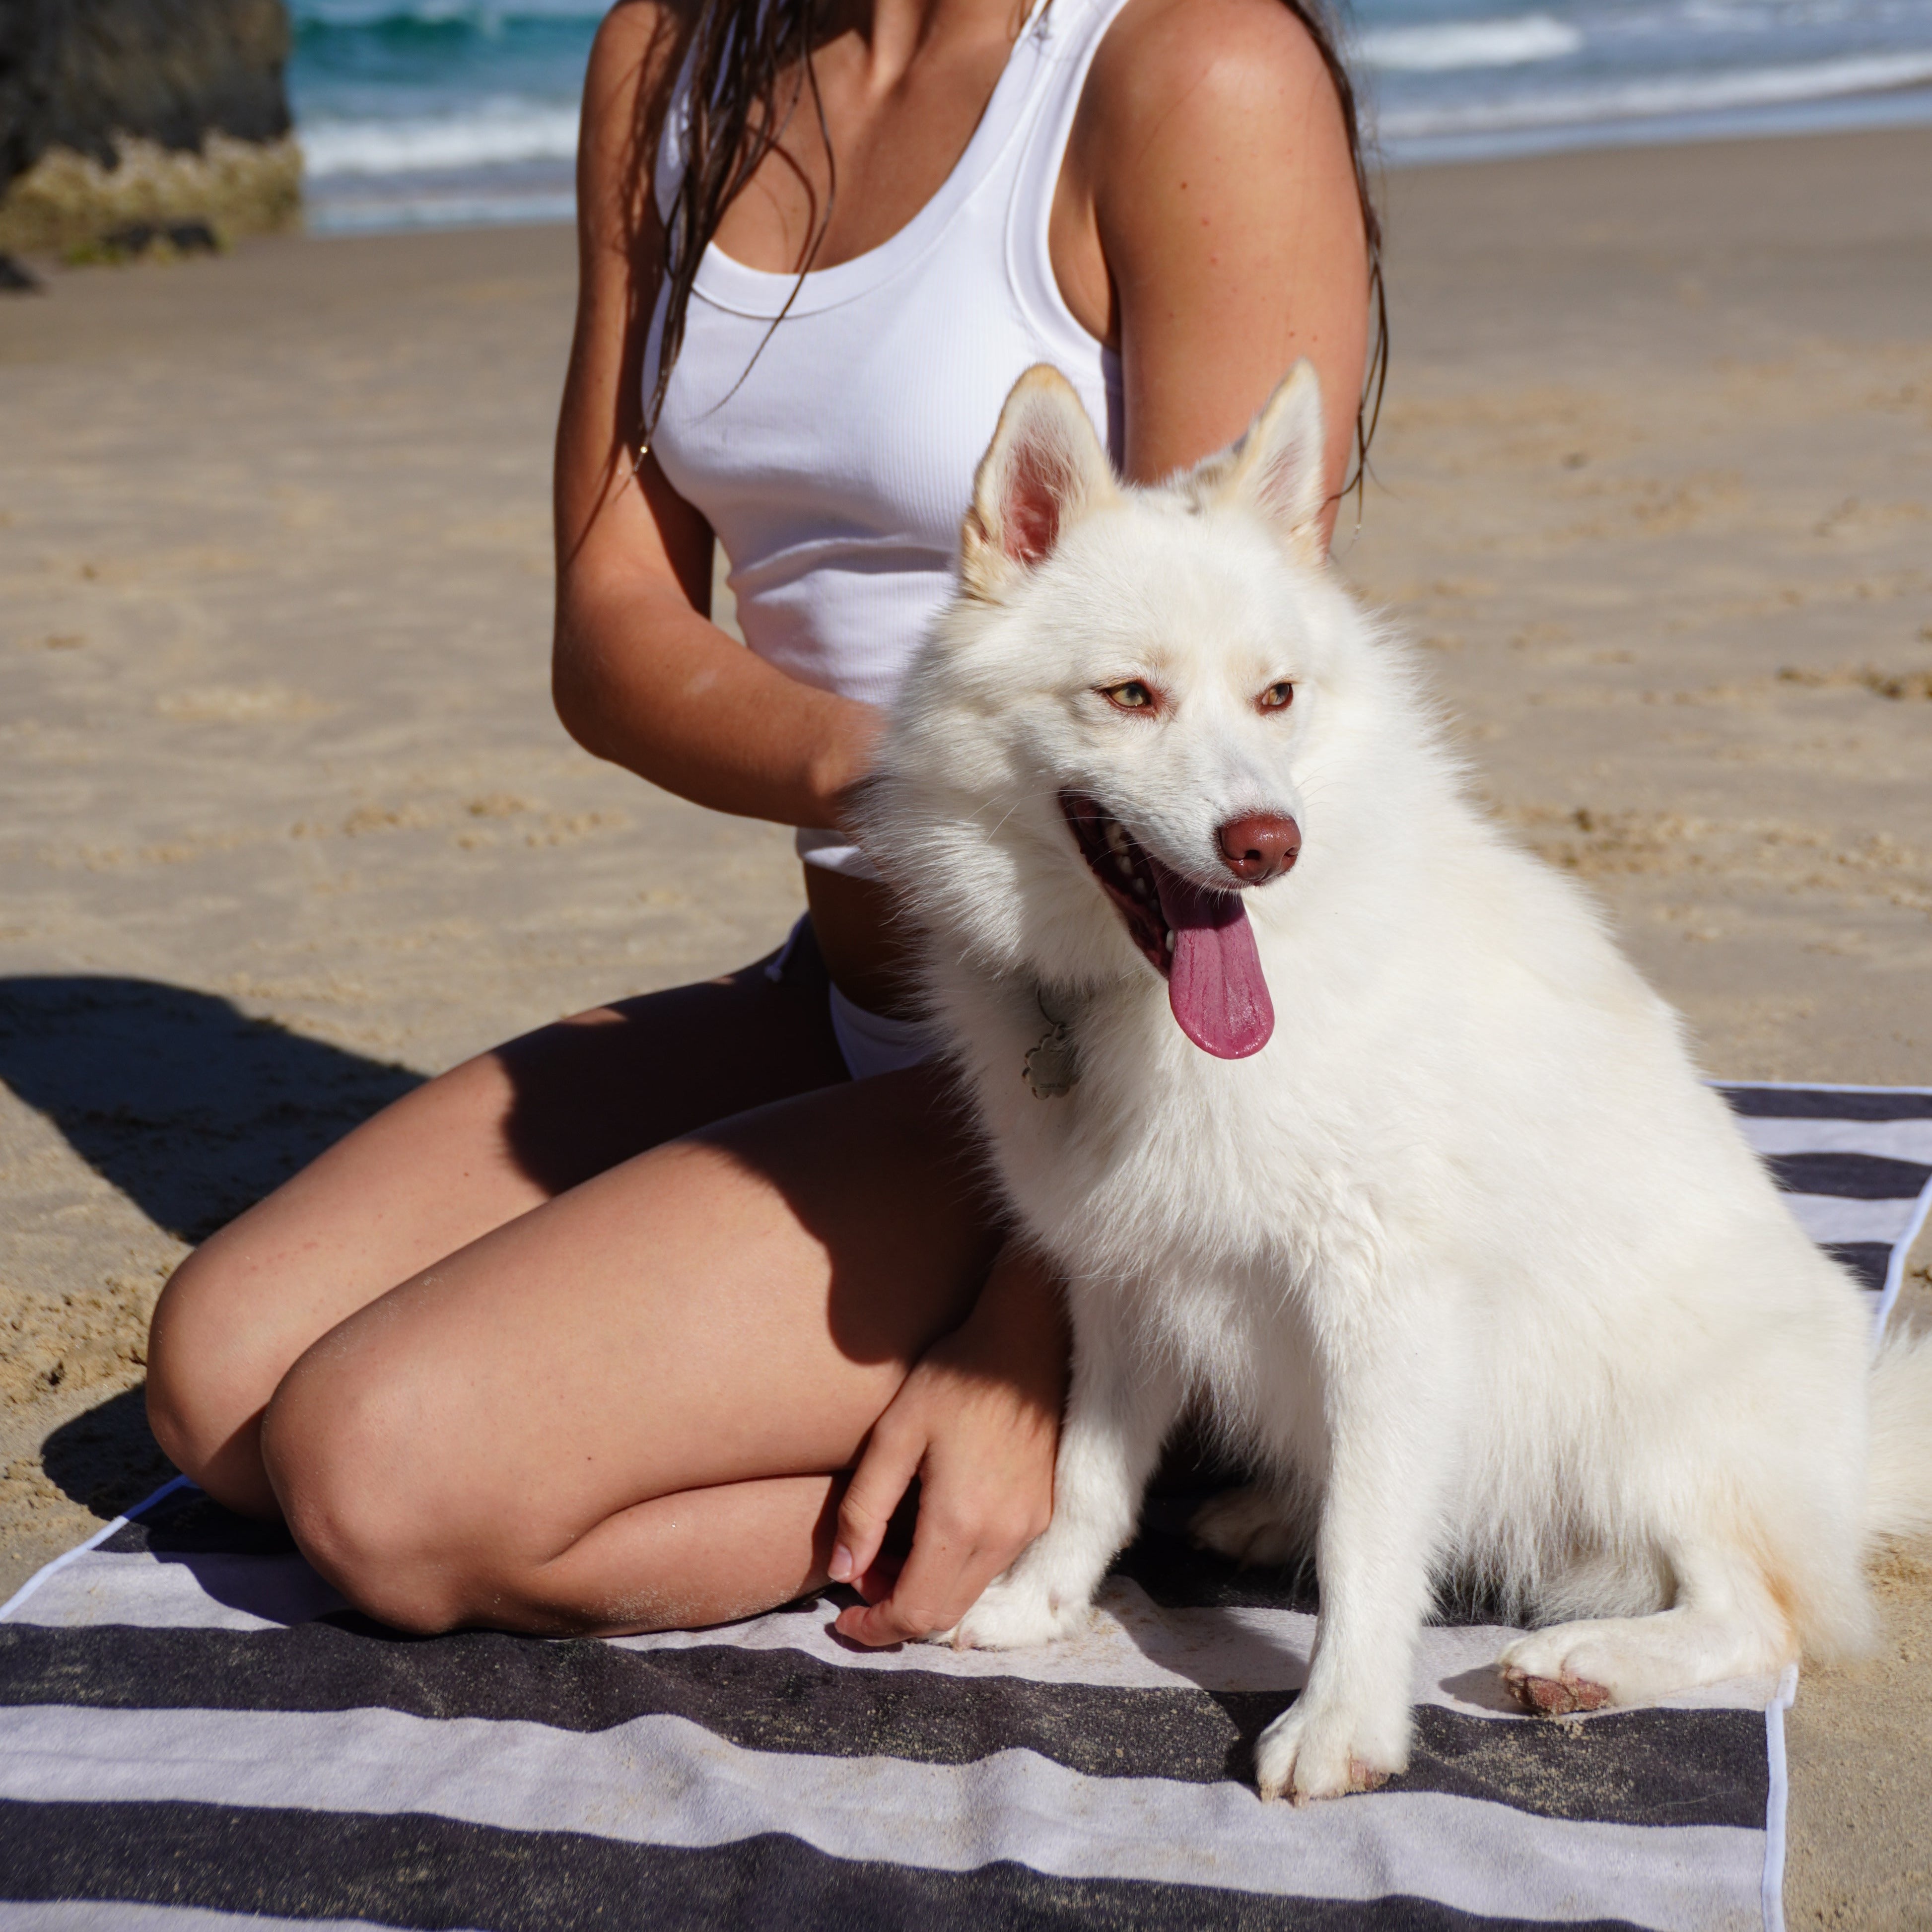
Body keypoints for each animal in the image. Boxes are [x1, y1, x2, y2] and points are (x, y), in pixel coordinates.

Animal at [869, 365, 1932, 1808]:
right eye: (1131, 695)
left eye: (1275, 697)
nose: (1266, 844)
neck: (1152, 1012)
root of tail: (1852, 1453)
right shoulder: (1126, 1281)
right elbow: (1090, 1477)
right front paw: (1040, 1602)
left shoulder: (1383, 1292)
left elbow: (1370, 1544)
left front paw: (1344, 1726)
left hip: (1655, 1419)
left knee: (1758, 1611)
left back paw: (1585, 1662)